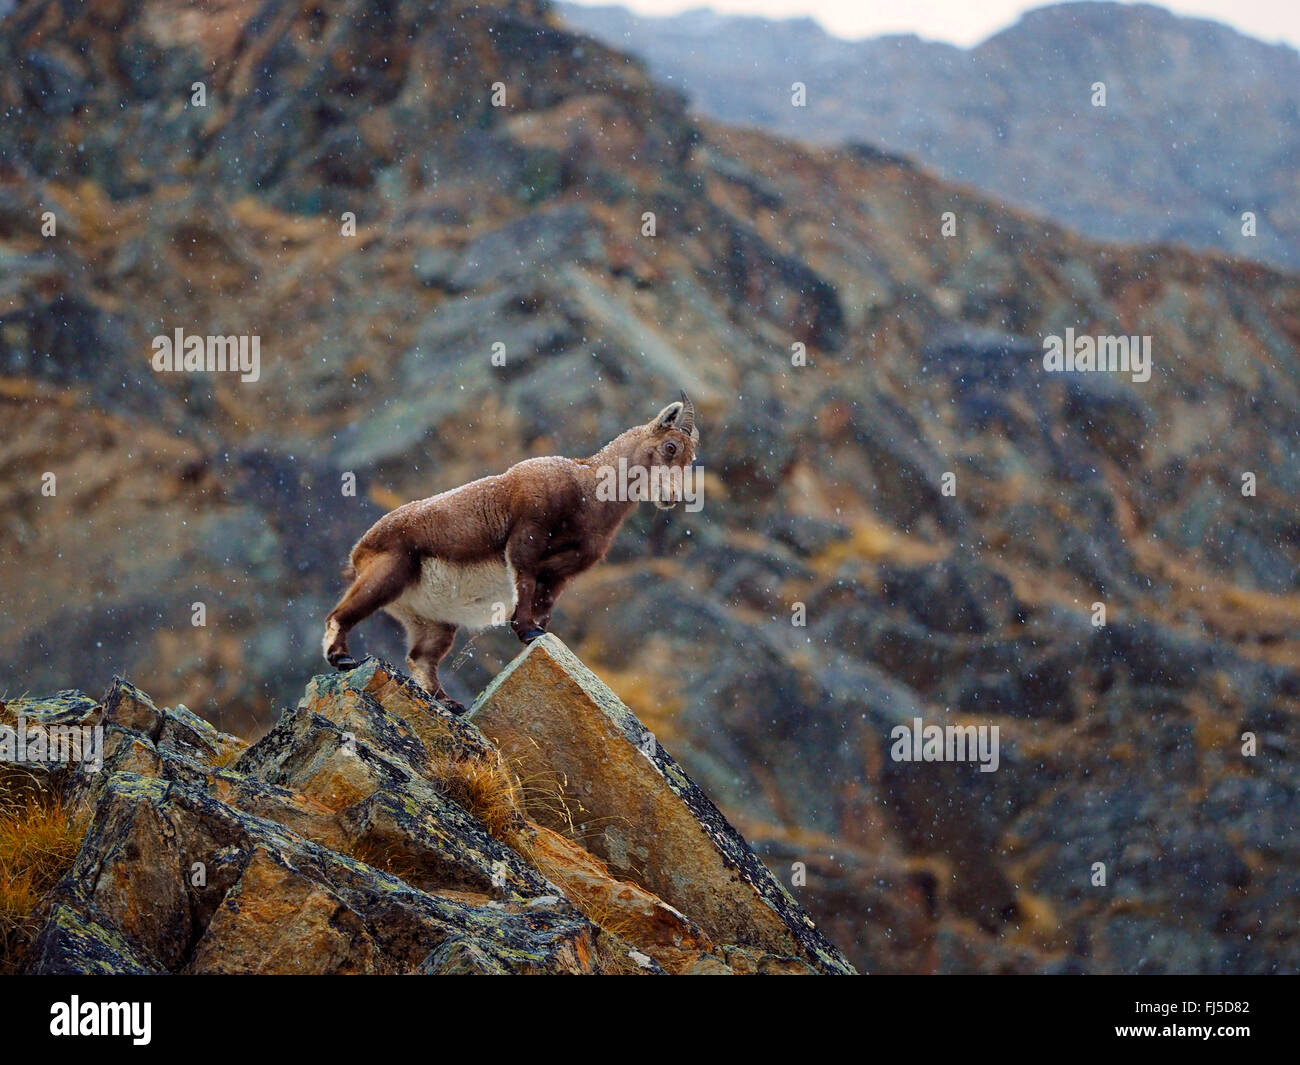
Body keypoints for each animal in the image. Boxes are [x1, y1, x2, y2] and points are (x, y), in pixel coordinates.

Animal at [322, 394, 700, 712]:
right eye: (670, 447)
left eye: (691, 458)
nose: (671, 498)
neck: (588, 491)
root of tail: (358, 553)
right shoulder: (526, 537)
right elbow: (525, 582)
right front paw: (527, 630)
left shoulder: (563, 573)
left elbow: (546, 603)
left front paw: (537, 633)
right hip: (389, 571)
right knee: (340, 615)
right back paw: (343, 659)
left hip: (433, 620)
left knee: (421, 657)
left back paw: (447, 702)